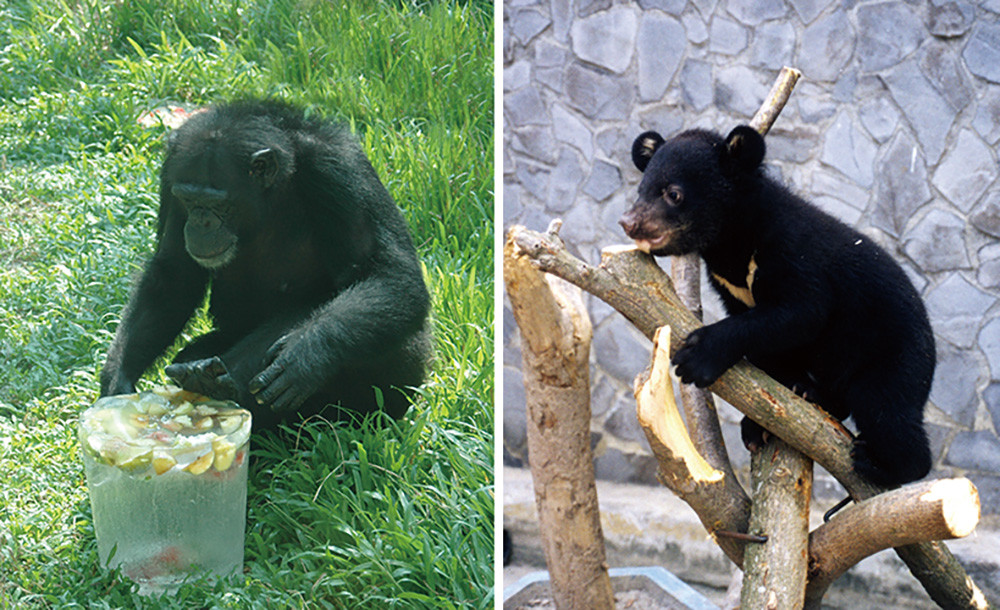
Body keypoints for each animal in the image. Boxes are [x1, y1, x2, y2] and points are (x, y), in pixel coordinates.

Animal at [619, 125, 935, 487]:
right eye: (641, 191)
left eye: (673, 194)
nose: (628, 222)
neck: (731, 240)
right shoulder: (729, 286)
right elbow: (768, 344)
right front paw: (760, 423)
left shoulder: (790, 249)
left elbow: (802, 311)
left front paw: (697, 357)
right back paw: (816, 395)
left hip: (893, 353)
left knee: (886, 408)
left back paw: (879, 463)